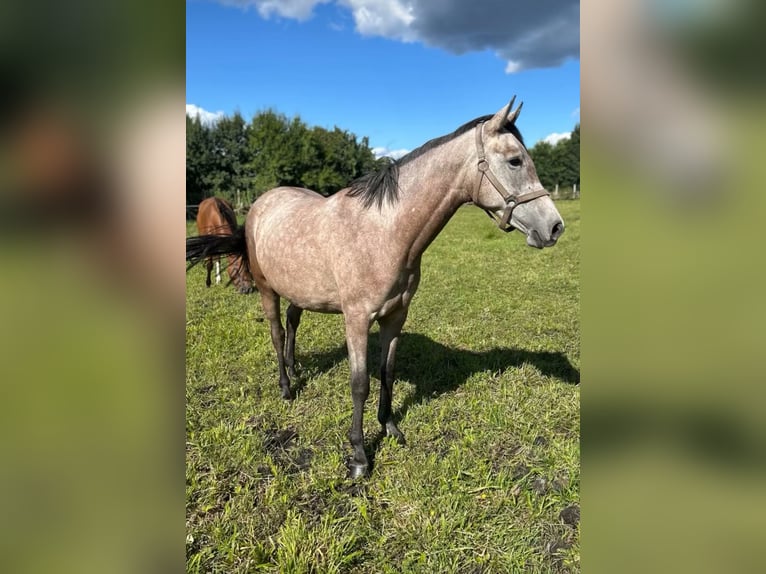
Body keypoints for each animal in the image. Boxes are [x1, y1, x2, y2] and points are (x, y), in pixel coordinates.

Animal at [187, 99, 564, 478]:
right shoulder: (356, 319)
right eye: (515, 160)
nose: (554, 227)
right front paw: (359, 456)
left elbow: (387, 372)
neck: (385, 232)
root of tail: (260, 204)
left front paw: (390, 427)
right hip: (267, 289)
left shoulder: (395, 316)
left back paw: (295, 370)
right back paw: (286, 387)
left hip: (299, 290)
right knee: (278, 334)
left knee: (293, 324)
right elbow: (360, 384)